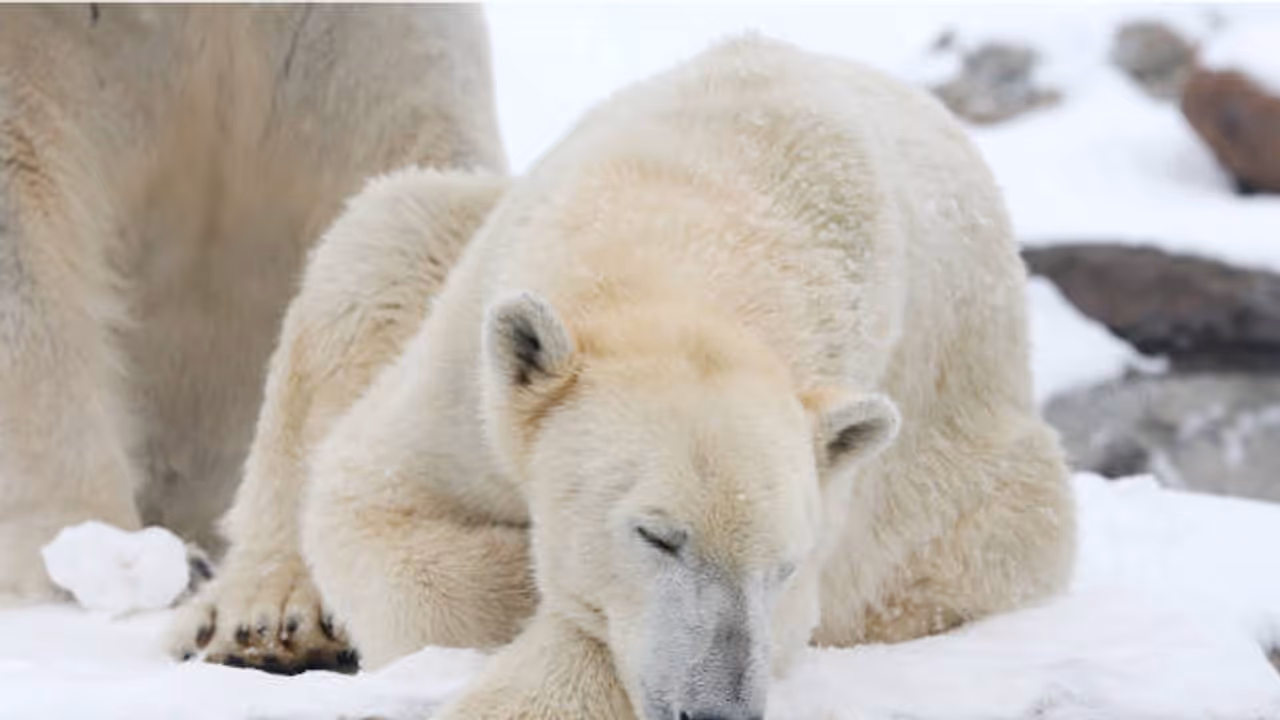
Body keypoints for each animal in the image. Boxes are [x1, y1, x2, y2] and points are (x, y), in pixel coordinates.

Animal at [171, 34, 1076, 718]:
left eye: (783, 565)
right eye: (657, 534)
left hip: (970, 511)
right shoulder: (472, 360)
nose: (716, 710)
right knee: (381, 235)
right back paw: (261, 619)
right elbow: (366, 494)